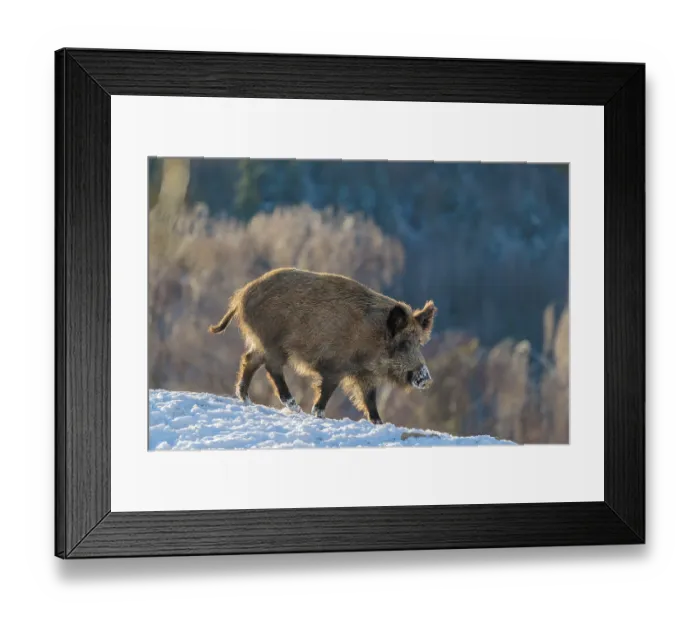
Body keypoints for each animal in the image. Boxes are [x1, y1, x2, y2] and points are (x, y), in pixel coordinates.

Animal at [208, 267, 436, 424]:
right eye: (404, 344)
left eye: (419, 343)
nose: (426, 379)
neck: (372, 337)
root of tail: (241, 296)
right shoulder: (335, 367)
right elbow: (327, 391)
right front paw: (318, 414)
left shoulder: (365, 376)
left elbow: (370, 399)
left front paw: (379, 423)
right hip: (273, 343)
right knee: (272, 368)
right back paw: (294, 407)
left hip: (262, 343)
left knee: (249, 360)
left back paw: (246, 399)